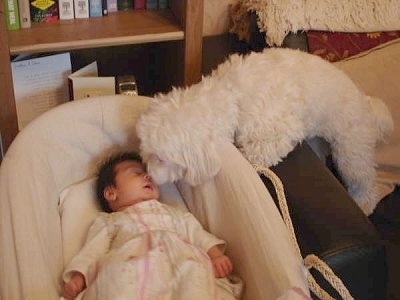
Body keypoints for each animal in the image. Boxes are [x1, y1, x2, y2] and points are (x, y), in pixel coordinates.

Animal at [136, 48, 392, 214]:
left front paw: (247, 160)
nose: (147, 175)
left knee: (364, 180)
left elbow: (258, 152)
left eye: (160, 159)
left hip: (350, 149)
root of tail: (365, 101)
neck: (231, 94)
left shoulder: (281, 128)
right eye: (146, 153)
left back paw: (364, 204)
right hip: (321, 141)